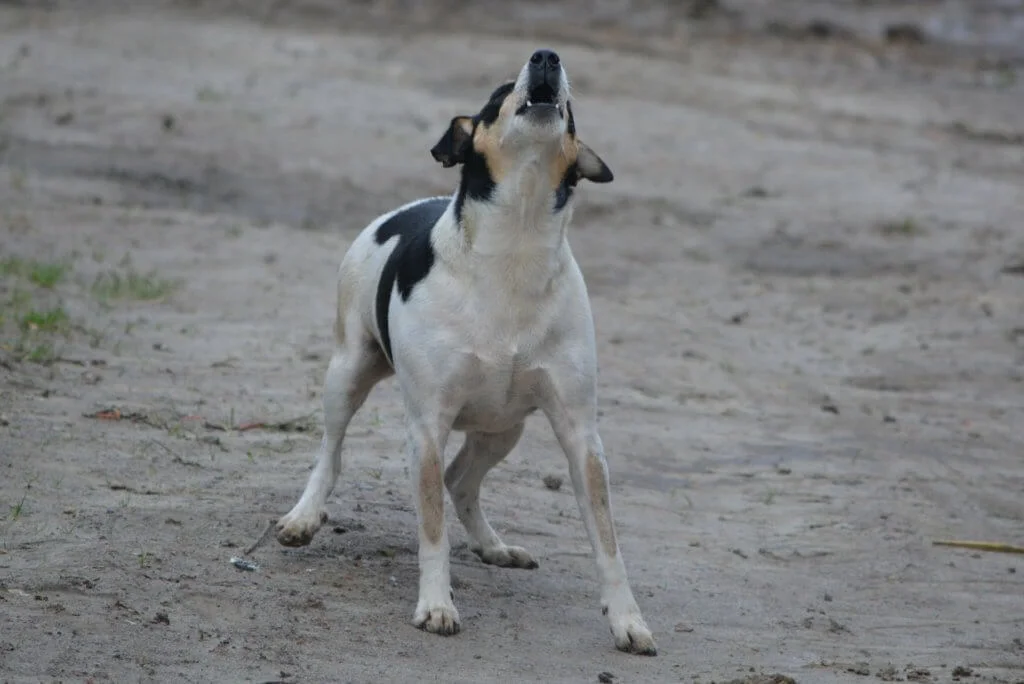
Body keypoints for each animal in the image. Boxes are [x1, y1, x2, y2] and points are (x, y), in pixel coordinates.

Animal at [272, 48, 655, 655]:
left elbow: (607, 541)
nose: (546, 57)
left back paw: (494, 545)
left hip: (503, 428)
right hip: (347, 373)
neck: (516, 246)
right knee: (331, 455)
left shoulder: (580, 435)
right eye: (498, 95)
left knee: (461, 481)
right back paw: (304, 517)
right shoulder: (427, 427)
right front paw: (436, 605)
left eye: (571, 110)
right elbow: (432, 530)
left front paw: (627, 620)